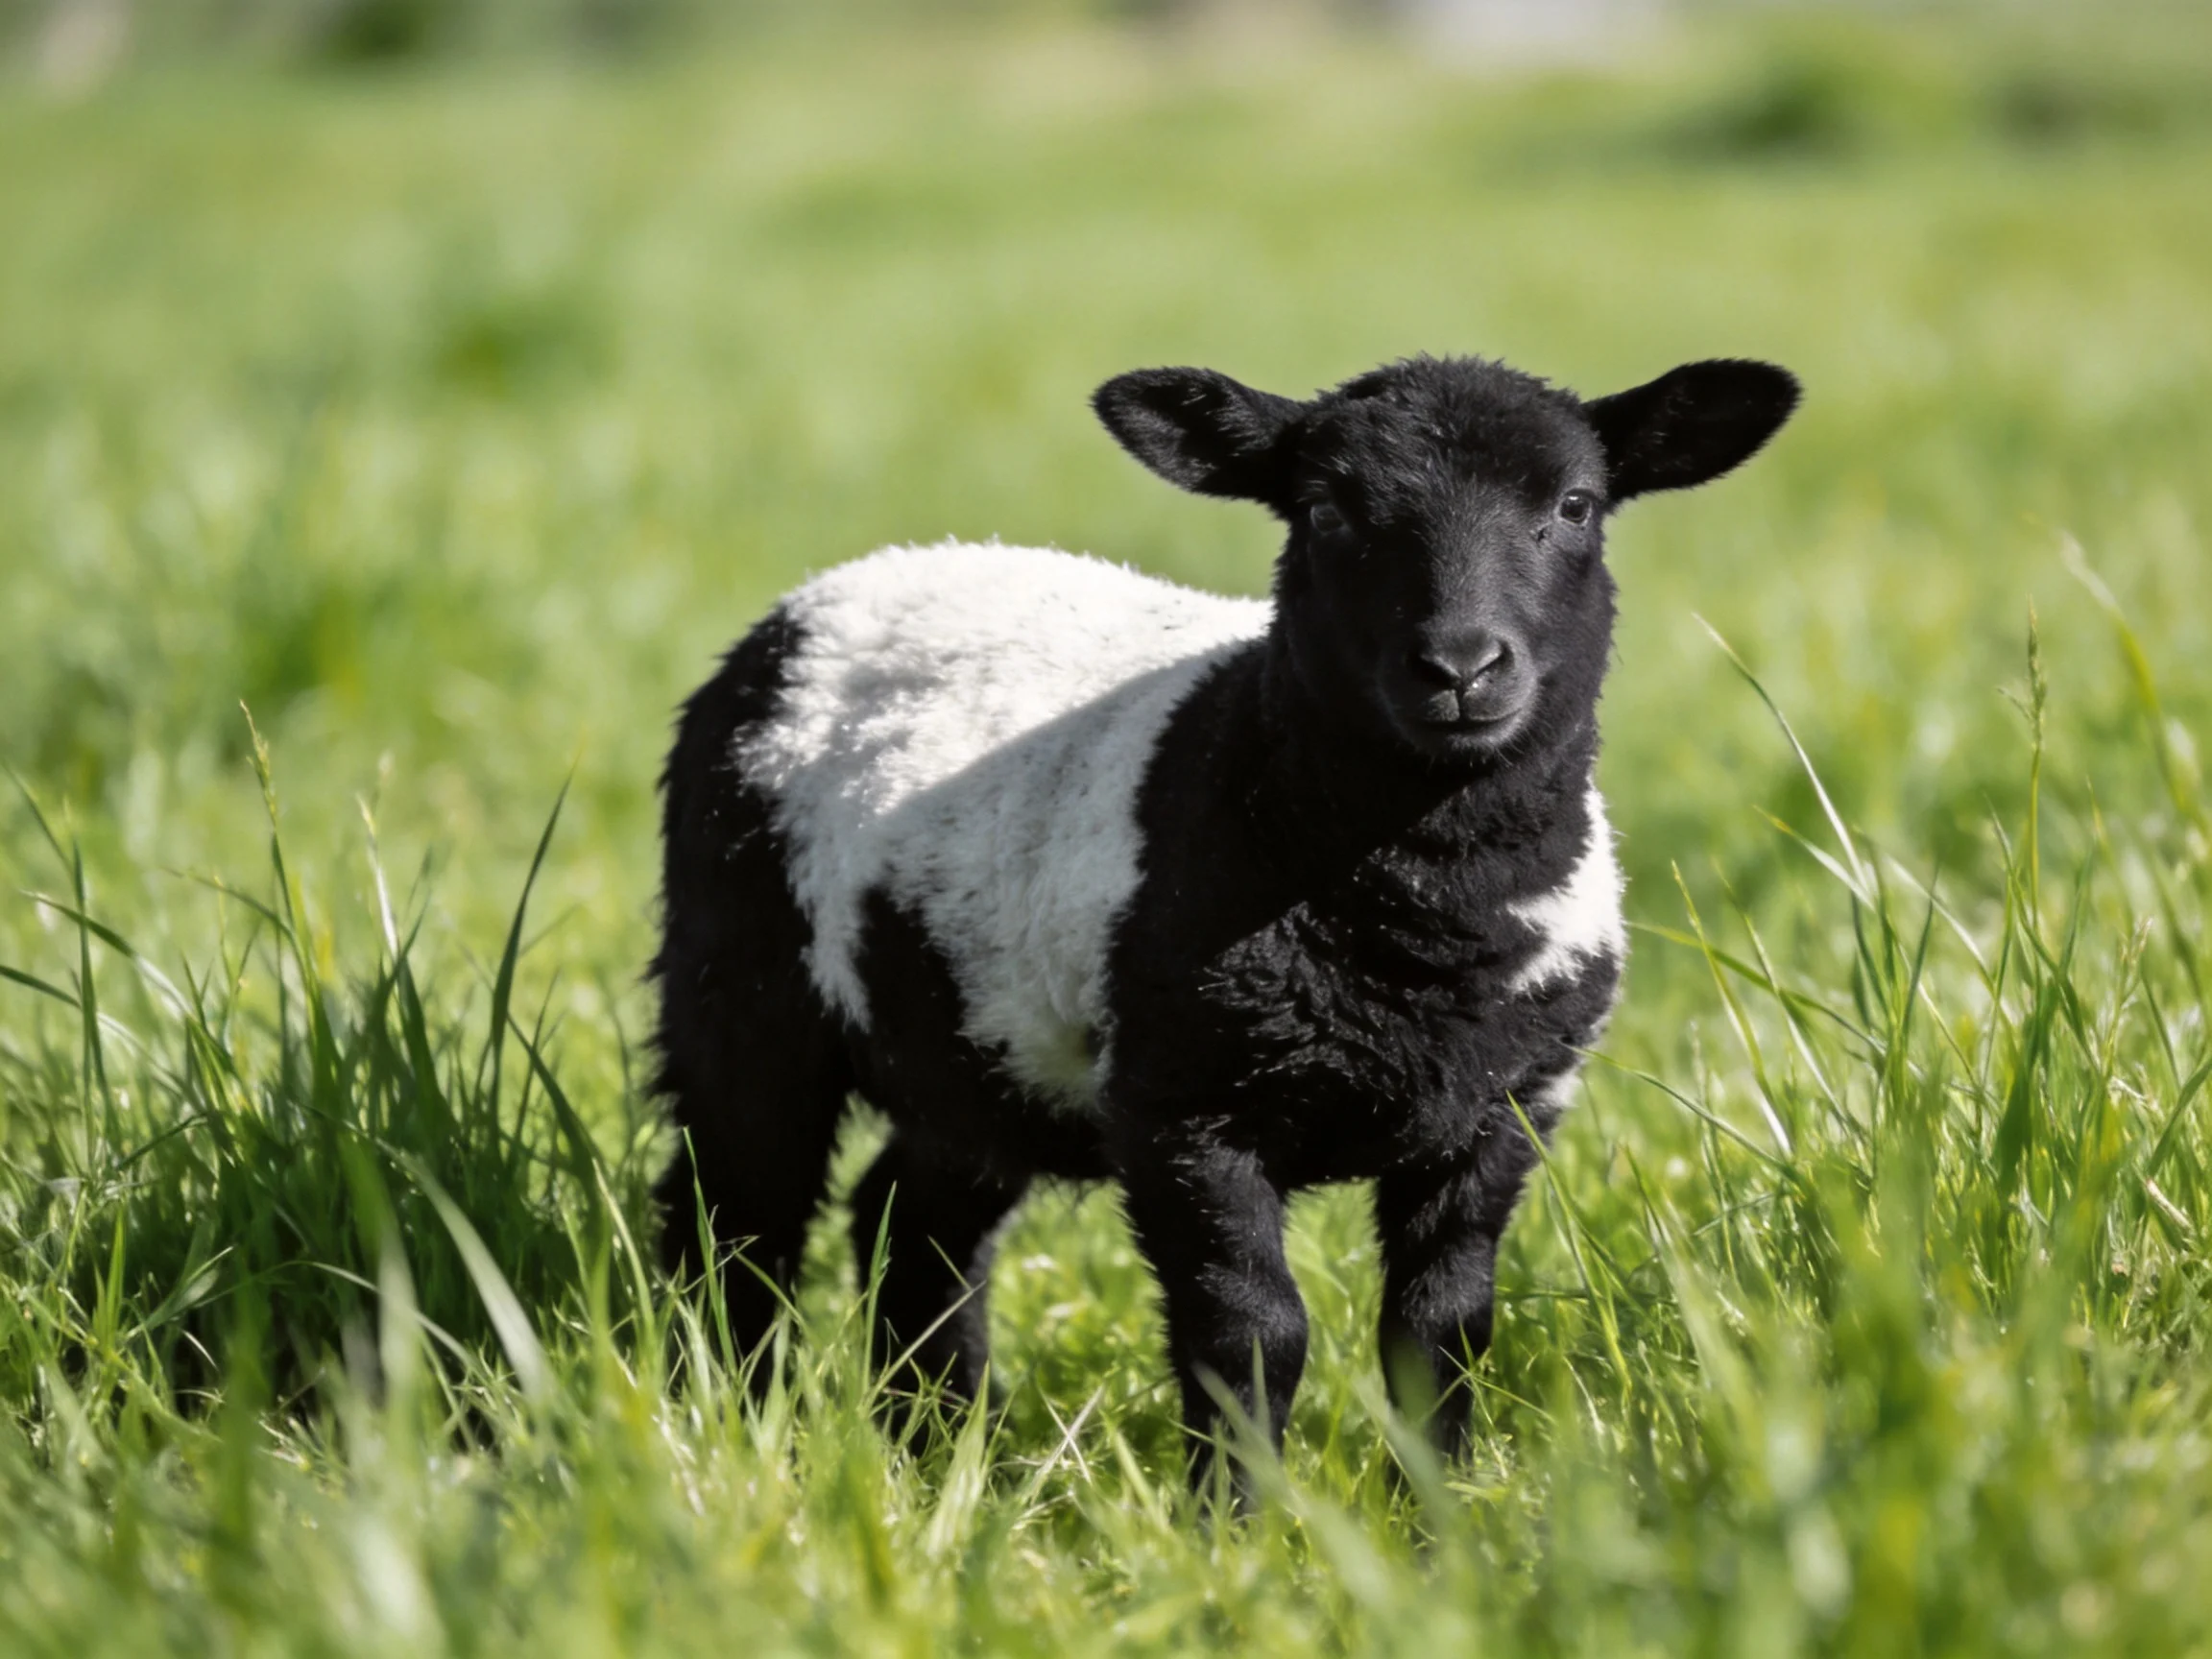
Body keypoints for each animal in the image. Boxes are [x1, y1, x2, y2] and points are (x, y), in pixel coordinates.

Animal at [651, 351, 1799, 1463]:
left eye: (1574, 505)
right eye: (1327, 510)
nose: (1462, 666)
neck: (1421, 926)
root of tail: (828, 593)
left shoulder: (1504, 1109)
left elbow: (1441, 1333)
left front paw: (1441, 1520)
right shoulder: (1183, 1108)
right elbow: (1250, 1335)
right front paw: (1234, 1520)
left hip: (976, 1046)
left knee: (913, 1223)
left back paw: (940, 1449)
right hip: (740, 973)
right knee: (732, 1216)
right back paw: (721, 1429)